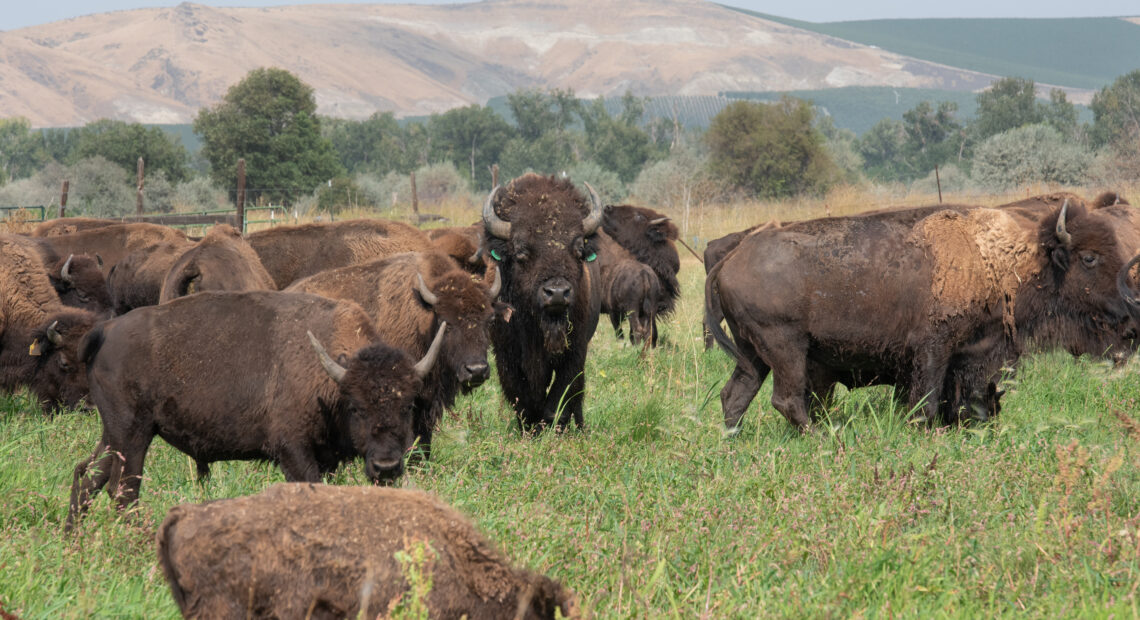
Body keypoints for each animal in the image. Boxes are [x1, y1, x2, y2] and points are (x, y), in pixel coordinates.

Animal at [65, 290, 449, 528]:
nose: (387, 467)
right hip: (133, 433)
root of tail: (106, 330)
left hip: (114, 433)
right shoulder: (292, 451)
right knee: (123, 489)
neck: (329, 377)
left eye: (408, 404)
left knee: (87, 474)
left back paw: (74, 541)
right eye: (356, 407)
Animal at [706, 200, 1140, 433]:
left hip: (754, 355)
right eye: (1089, 258)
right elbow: (927, 402)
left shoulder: (969, 356)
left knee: (735, 395)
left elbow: (960, 398)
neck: (1000, 264)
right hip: (786, 349)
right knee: (788, 400)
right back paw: (826, 436)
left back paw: (734, 440)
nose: (1131, 321)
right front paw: (924, 431)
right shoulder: (933, 350)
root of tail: (731, 257)